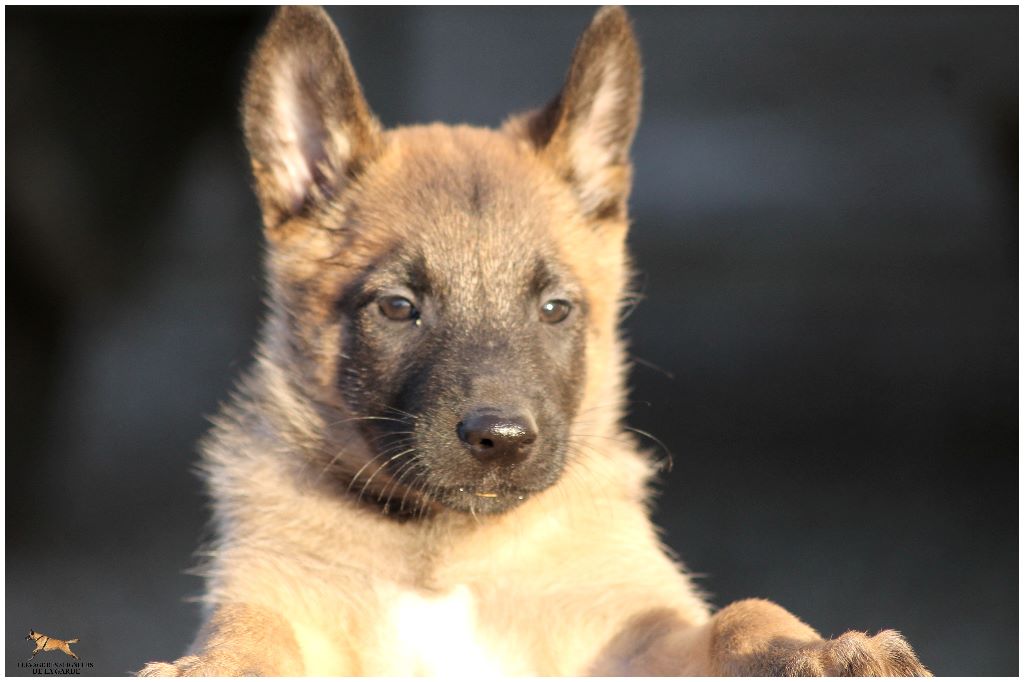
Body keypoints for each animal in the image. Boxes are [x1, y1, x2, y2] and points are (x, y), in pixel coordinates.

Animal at [139, 7, 928, 676]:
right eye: (398, 307)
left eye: (555, 308)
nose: (501, 441)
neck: (446, 553)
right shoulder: (280, 604)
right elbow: (251, 626)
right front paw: (210, 667)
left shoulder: (636, 638)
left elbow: (745, 611)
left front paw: (826, 651)